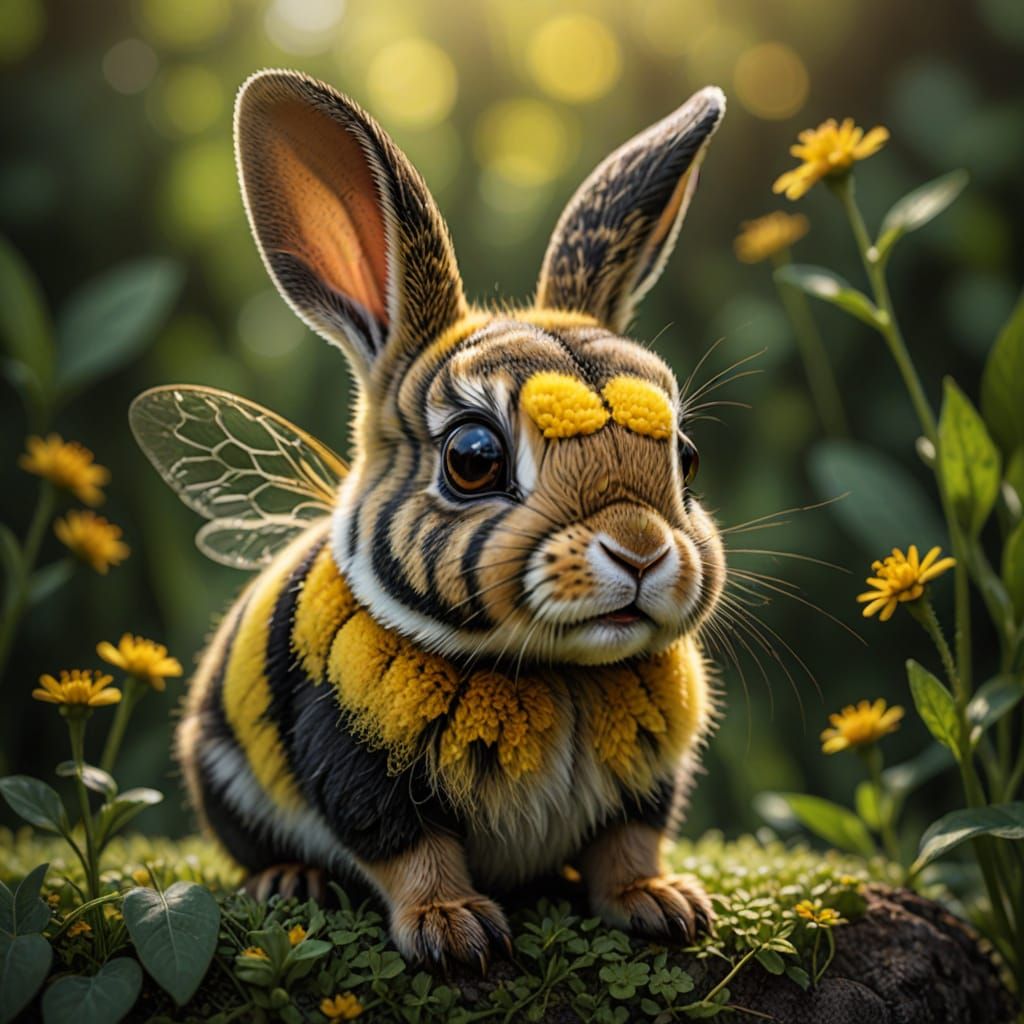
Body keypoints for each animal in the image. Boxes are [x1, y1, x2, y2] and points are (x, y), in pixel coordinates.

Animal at [136, 68, 727, 969]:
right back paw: (292, 882)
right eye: (474, 457)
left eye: (685, 459)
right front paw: (453, 930)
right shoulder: (358, 764)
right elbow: (408, 846)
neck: (558, 670)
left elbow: (627, 843)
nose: (639, 549)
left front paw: (662, 904)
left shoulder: (648, 781)